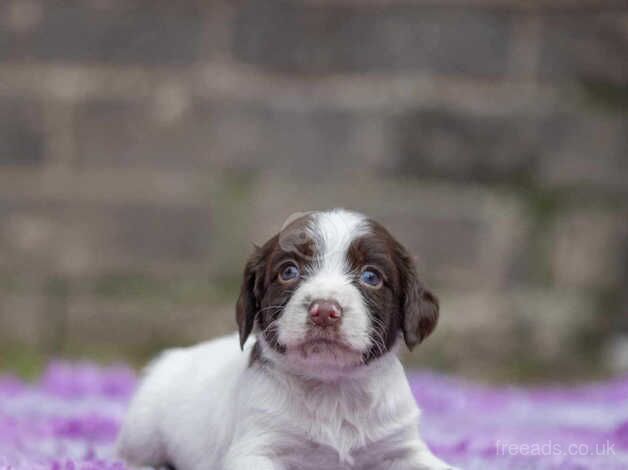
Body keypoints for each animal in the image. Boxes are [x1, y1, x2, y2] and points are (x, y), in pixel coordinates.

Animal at [115, 210, 454, 470]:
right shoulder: (259, 447)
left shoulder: (401, 447)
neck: (333, 391)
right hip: (143, 431)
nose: (324, 311)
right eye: (288, 271)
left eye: (371, 276)